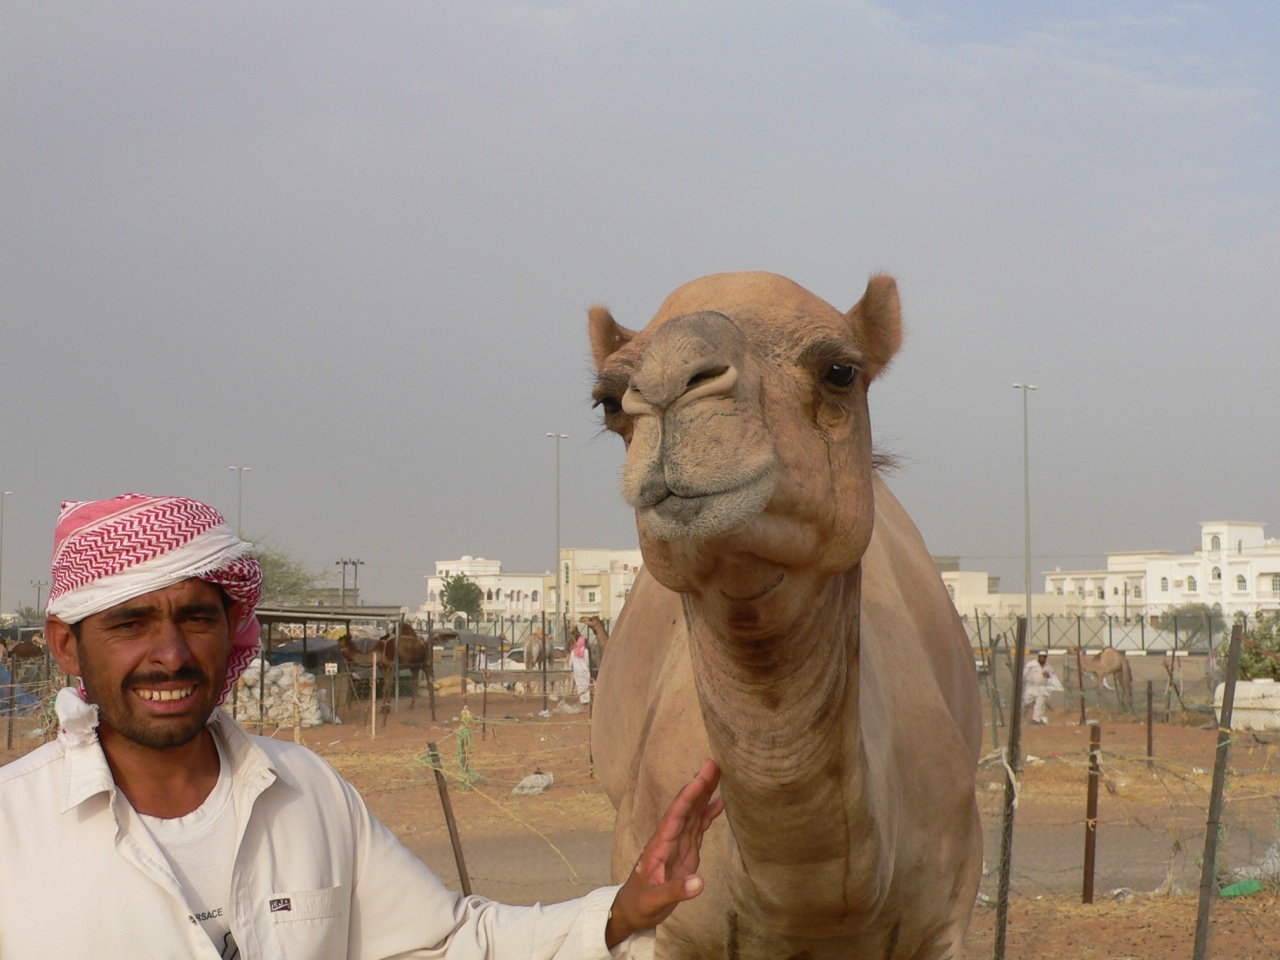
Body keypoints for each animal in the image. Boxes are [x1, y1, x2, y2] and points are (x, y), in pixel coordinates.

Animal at [586, 271, 977, 960]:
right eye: (608, 403)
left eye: (840, 371)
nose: (668, 385)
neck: (813, 907)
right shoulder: (664, 926)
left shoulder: (947, 922)